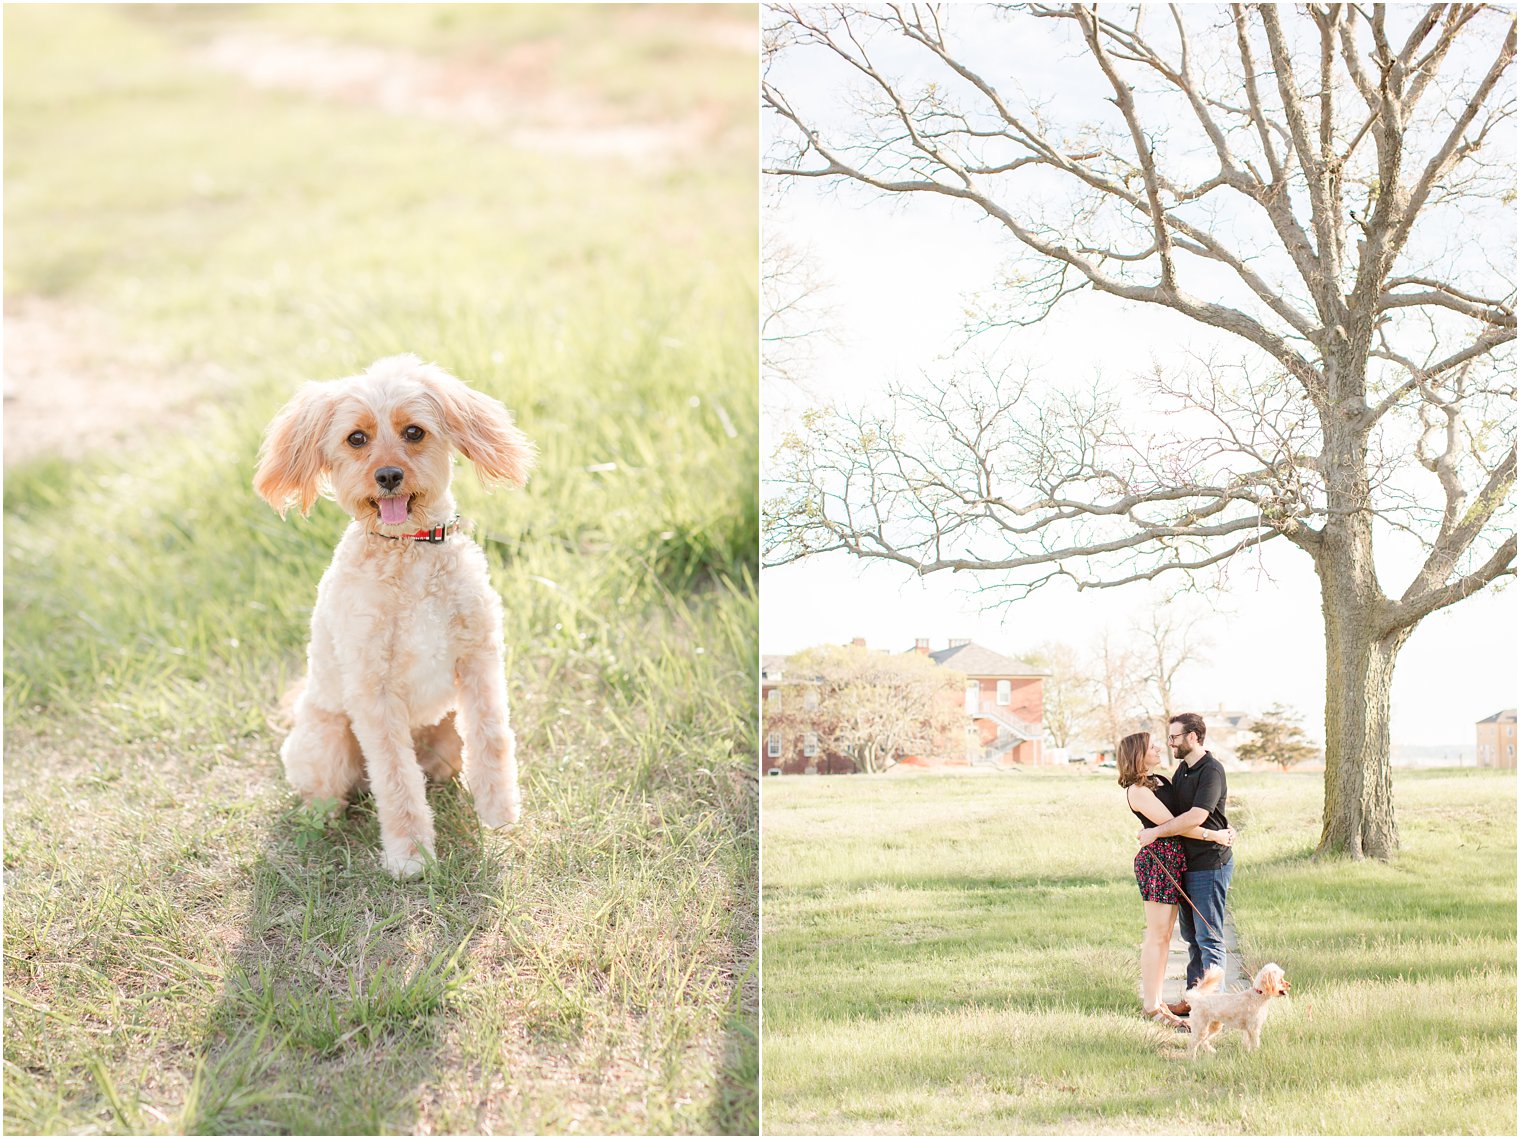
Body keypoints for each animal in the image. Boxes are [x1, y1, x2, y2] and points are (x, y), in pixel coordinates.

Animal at [259, 351, 541, 875]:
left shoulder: (479, 659)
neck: (408, 551)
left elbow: (492, 737)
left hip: (446, 730)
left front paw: (499, 809)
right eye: (357, 438)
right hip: (326, 742)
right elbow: (394, 778)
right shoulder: (376, 692)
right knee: (330, 792)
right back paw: (319, 819)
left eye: (414, 432)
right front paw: (410, 854)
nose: (388, 476)